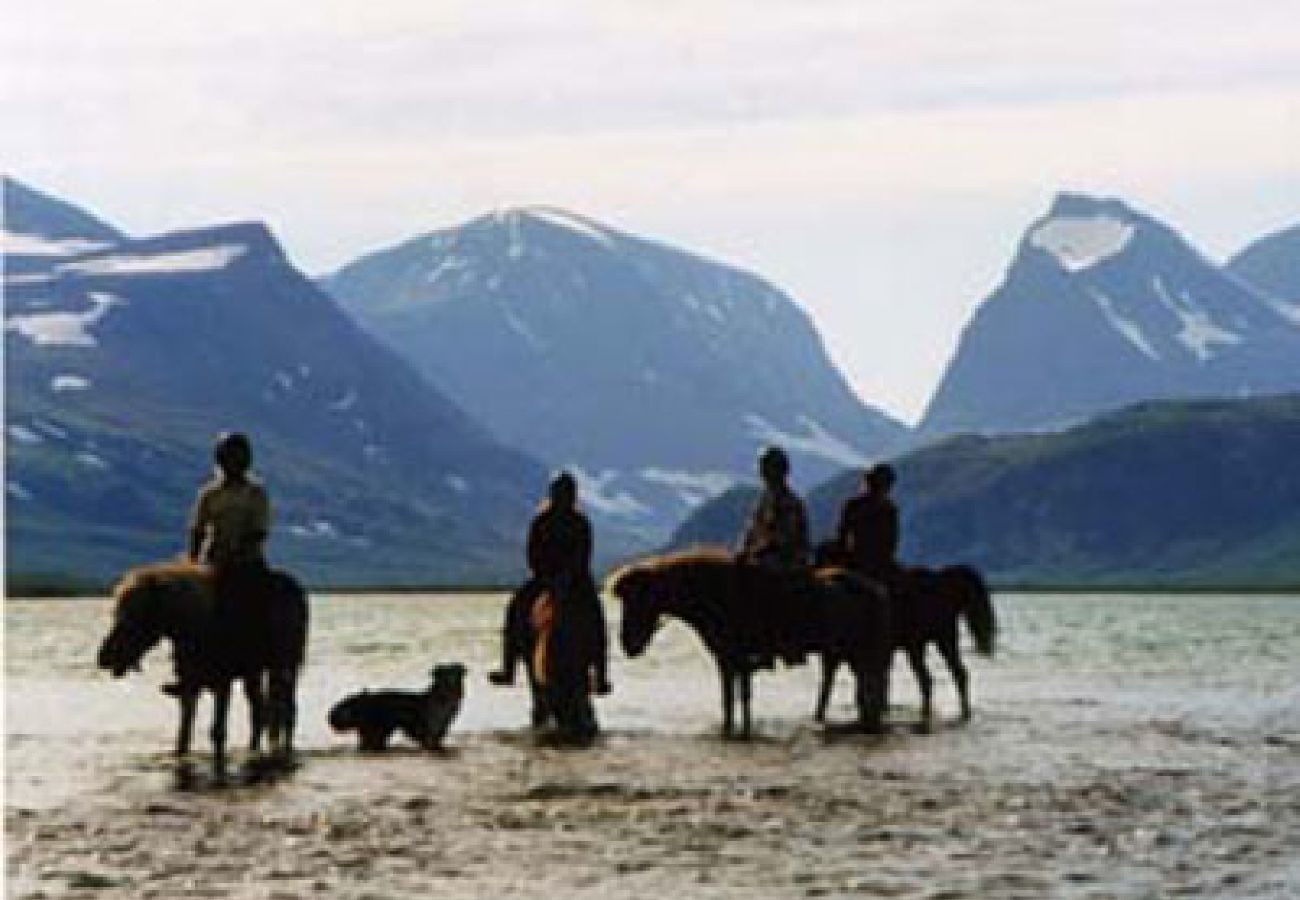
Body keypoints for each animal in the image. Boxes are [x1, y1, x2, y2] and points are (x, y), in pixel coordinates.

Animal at [96, 559, 309, 775]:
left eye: (133, 616)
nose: (103, 657)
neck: (196, 628)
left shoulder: (222, 682)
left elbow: (217, 732)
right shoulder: (190, 685)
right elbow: (183, 735)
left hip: (287, 664)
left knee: (287, 710)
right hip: (255, 673)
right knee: (261, 712)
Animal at [327, 660, 465, 754]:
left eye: (455, 675)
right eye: (445, 677)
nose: (451, 682)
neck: (443, 699)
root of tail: (364, 699)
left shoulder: (442, 727)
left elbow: (438, 739)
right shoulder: (430, 728)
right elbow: (431, 740)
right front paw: (437, 750)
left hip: (386, 727)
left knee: (369, 743)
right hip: (380, 726)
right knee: (368, 743)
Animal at [608, 548, 894, 738]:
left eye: (640, 599)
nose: (628, 645)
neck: (720, 596)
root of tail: (877, 590)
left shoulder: (738, 659)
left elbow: (741, 697)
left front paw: (741, 732)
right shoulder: (727, 659)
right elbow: (730, 699)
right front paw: (731, 731)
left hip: (863, 653)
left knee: (870, 689)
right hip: (846, 654)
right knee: (857, 689)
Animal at [811, 559, 993, 728]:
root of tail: (943, 582)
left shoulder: (845, 653)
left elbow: (836, 683)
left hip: (925, 643)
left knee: (929, 677)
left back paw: (929, 715)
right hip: (941, 640)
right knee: (956, 673)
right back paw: (961, 713)